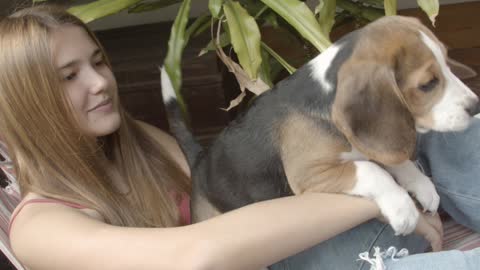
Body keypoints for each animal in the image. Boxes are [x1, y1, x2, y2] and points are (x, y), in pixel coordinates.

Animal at [162, 15, 480, 236]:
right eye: (427, 84)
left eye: (448, 63)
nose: (475, 106)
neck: (326, 95)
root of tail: (200, 160)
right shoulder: (309, 173)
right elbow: (371, 170)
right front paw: (402, 208)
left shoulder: (369, 142)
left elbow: (394, 160)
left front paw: (422, 185)